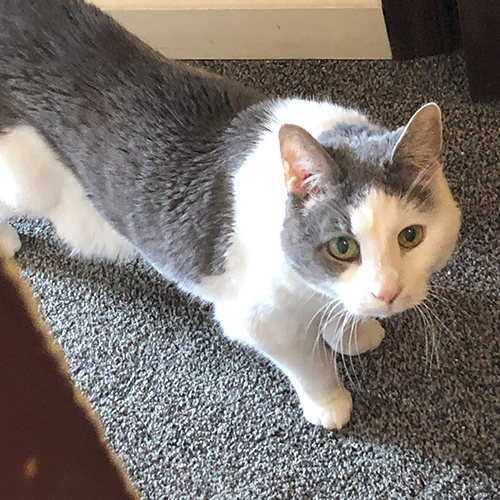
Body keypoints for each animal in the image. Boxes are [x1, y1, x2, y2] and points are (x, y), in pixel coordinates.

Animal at [0, 0, 460, 430]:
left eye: (410, 236)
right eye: (342, 247)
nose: (388, 292)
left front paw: (354, 332)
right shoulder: (260, 319)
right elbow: (309, 365)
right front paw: (329, 403)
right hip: (30, 181)